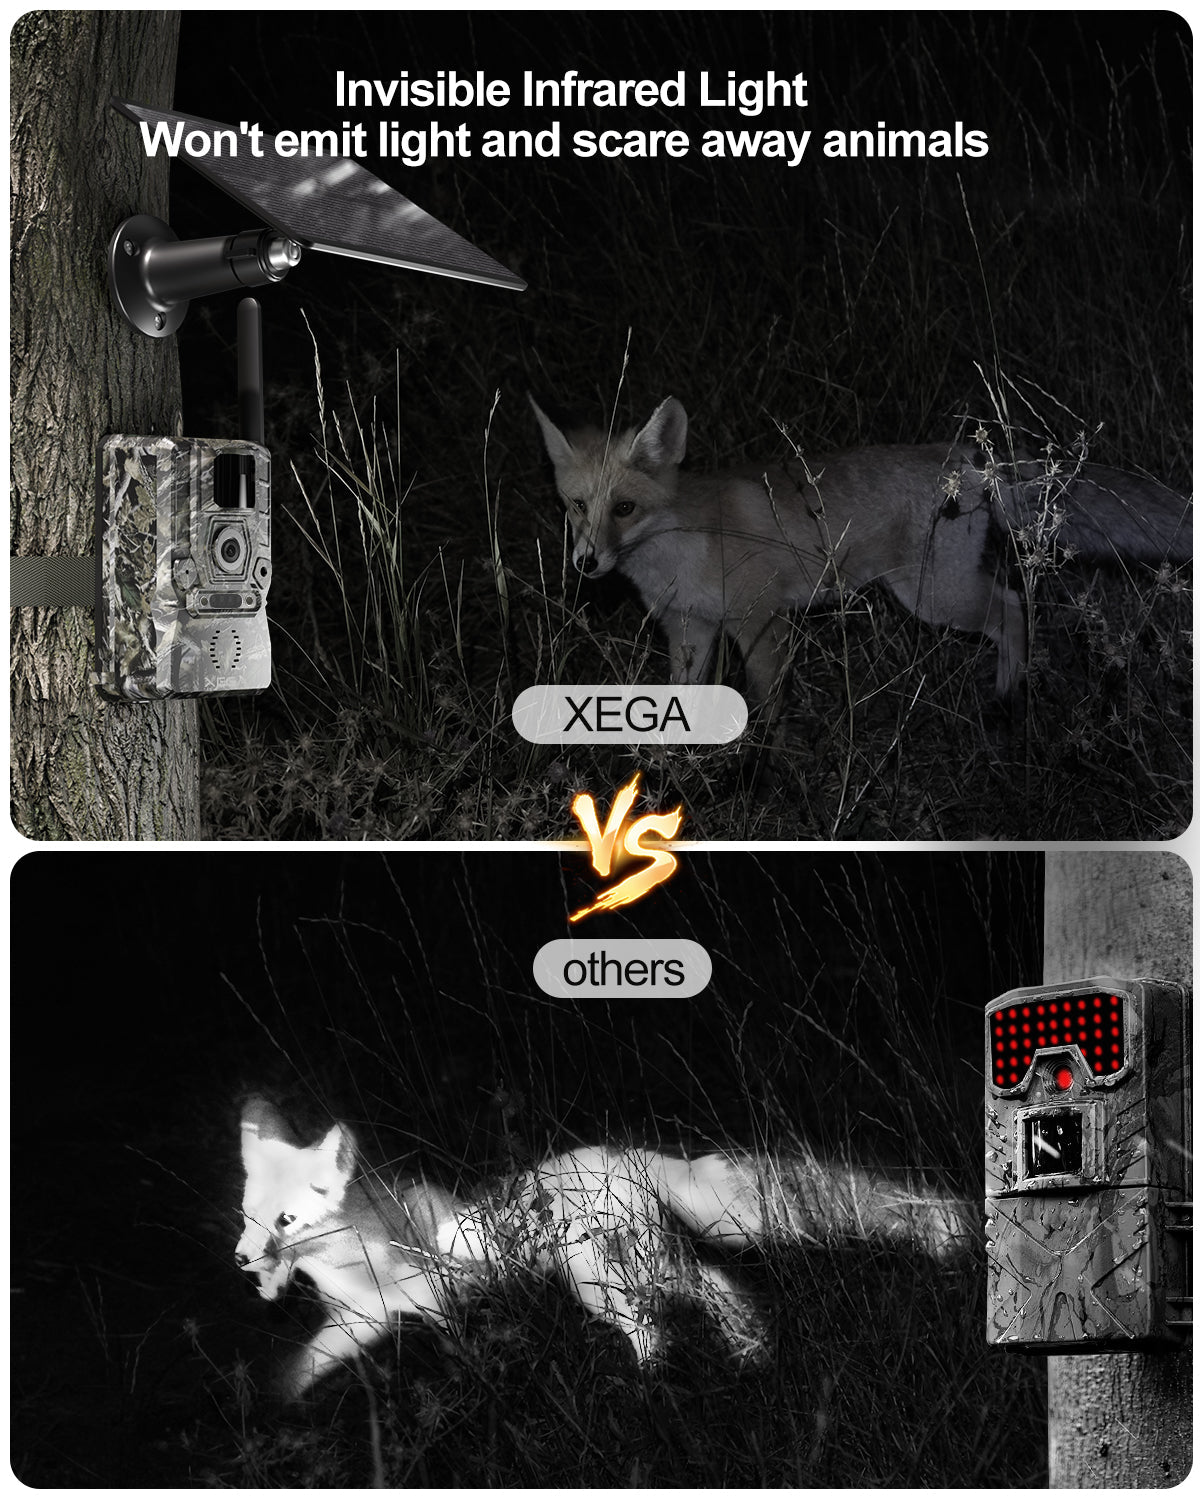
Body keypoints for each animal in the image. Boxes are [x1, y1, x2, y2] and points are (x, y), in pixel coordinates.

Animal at [235, 1094, 971, 1399]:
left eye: (287, 1219)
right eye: (247, 1217)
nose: (240, 1261)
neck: (355, 1266)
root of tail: (621, 1153)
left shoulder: (445, 1303)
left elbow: (465, 1359)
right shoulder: (356, 1324)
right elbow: (296, 1371)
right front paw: (271, 1407)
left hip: (611, 1277)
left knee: (679, 1308)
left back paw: (668, 1381)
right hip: (626, 1275)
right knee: (702, 1298)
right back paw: (738, 1361)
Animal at [530, 396, 1191, 715]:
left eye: (624, 509)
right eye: (577, 506)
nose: (585, 564)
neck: (675, 555)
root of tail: (962, 457)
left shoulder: (760, 621)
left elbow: (766, 709)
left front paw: (760, 771)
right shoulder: (689, 628)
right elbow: (679, 702)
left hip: (933, 597)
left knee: (1011, 610)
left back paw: (1007, 698)